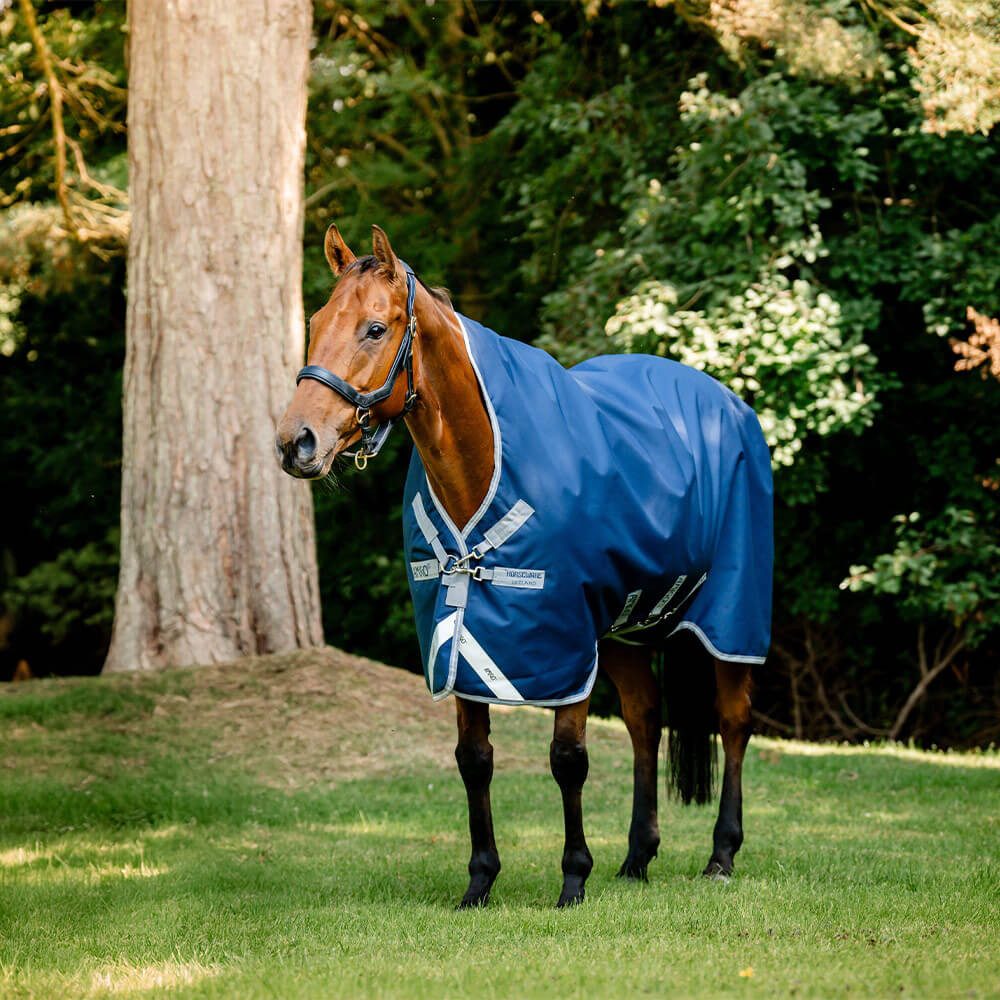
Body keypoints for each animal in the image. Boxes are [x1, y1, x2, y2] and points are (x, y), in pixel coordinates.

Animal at [276, 224, 771, 908]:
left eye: (375, 328)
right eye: (316, 321)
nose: (296, 443)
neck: (484, 461)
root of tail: (730, 405)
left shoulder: (564, 642)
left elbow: (568, 759)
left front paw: (573, 879)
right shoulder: (457, 639)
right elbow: (474, 758)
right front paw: (480, 881)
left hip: (730, 617)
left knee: (734, 721)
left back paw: (721, 854)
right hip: (622, 630)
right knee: (645, 721)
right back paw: (636, 858)